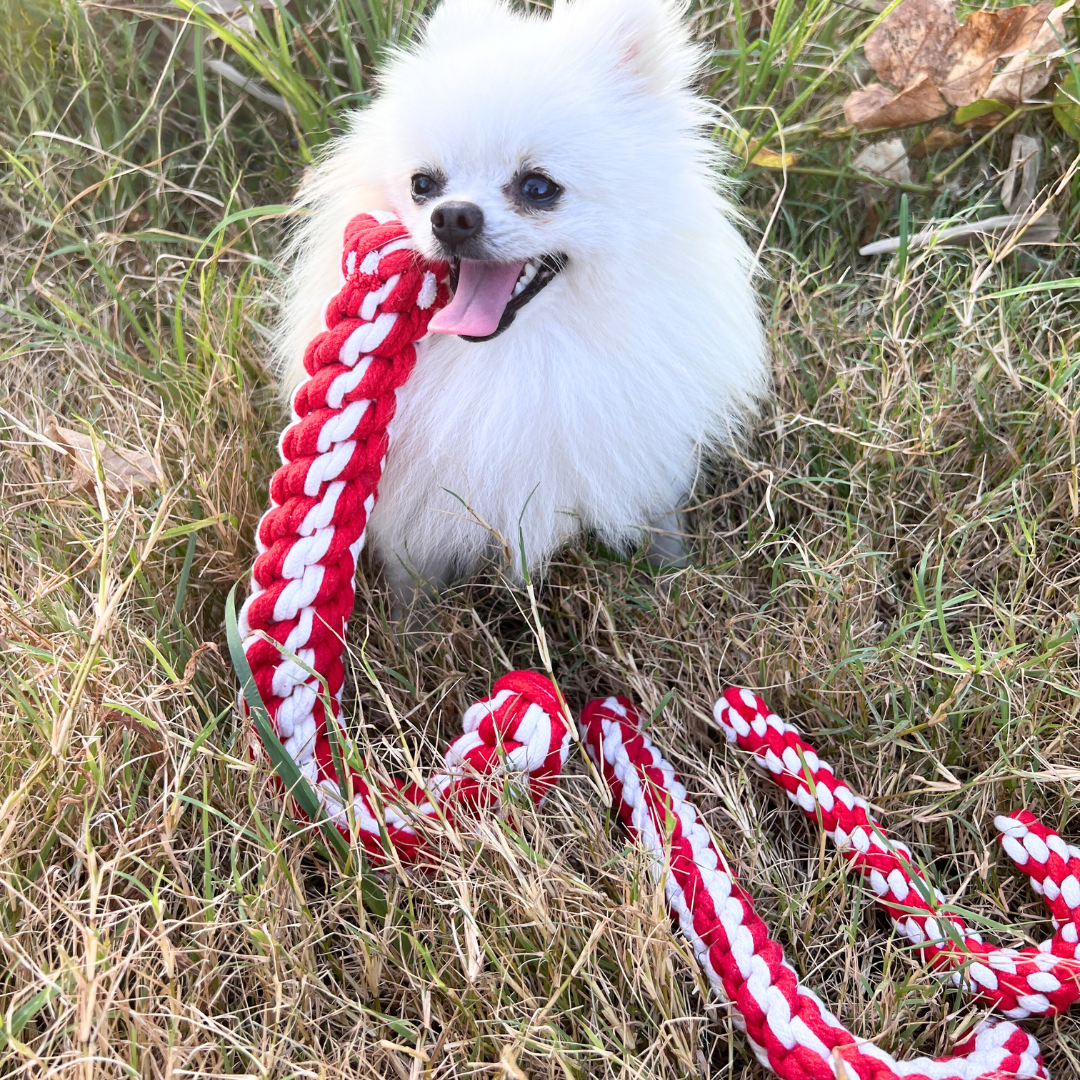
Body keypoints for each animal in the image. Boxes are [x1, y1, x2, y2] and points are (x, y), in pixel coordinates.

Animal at [278, 0, 768, 604]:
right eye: (423, 185)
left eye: (539, 188)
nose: (451, 216)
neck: (514, 357)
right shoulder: (417, 513)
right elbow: (414, 586)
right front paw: (409, 623)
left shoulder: (643, 458)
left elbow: (661, 528)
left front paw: (671, 580)